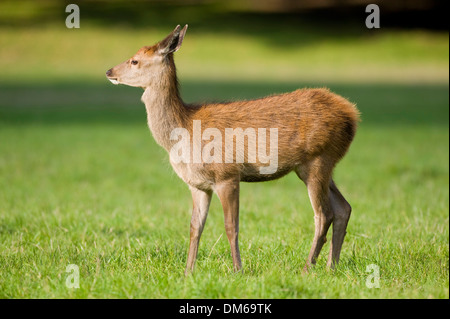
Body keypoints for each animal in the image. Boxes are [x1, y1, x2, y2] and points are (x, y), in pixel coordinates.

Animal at [104, 25, 358, 276]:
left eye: (135, 61)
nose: (108, 71)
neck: (184, 130)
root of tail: (352, 115)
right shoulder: (198, 184)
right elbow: (195, 227)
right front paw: (188, 272)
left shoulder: (227, 175)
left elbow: (231, 226)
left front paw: (238, 270)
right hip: (320, 164)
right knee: (344, 208)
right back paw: (331, 266)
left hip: (317, 159)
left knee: (323, 214)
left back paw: (307, 267)